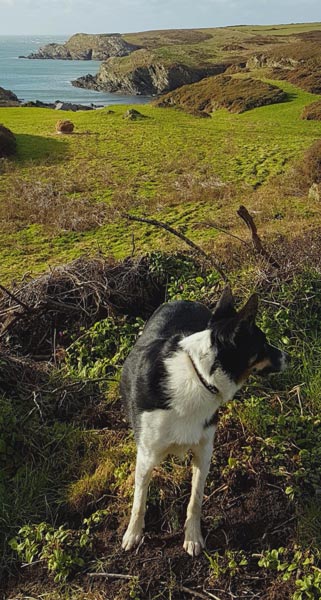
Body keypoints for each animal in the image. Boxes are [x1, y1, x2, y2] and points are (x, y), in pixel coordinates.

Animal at [119, 288, 284, 556]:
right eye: (263, 344)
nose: (287, 356)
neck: (197, 377)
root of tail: (182, 299)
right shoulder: (145, 456)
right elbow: (139, 499)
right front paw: (133, 533)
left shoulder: (204, 451)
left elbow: (195, 499)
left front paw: (193, 536)